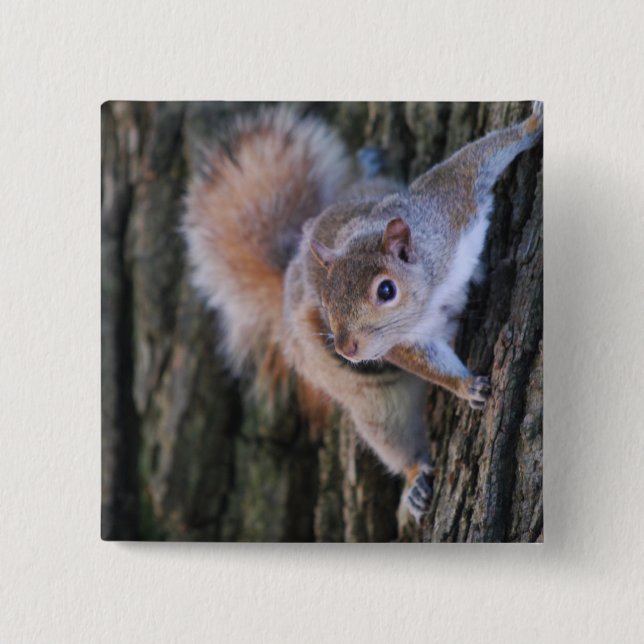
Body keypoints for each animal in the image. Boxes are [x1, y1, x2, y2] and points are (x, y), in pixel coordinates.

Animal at [183, 102, 543, 524]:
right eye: (325, 304)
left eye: (386, 290)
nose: (347, 349)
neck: (431, 292)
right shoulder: (400, 341)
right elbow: (426, 361)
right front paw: (466, 385)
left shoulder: (450, 207)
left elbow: (478, 160)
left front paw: (531, 125)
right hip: (371, 402)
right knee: (394, 438)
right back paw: (415, 481)